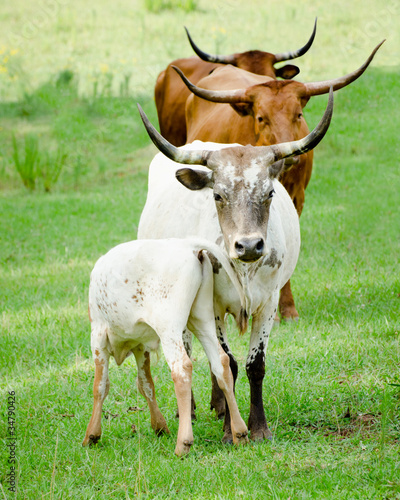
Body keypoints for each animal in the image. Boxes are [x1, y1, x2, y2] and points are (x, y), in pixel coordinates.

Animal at [83, 238, 248, 458]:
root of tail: (188, 244)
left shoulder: (98, 337)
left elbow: (100, 386)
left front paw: (92, 434)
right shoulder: (141, 346)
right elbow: (146, 384)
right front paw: (159, 425)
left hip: (169, 326)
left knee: (182, 368)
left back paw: (183, 443)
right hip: (202, 319)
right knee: (221, 363)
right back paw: (240, 433)